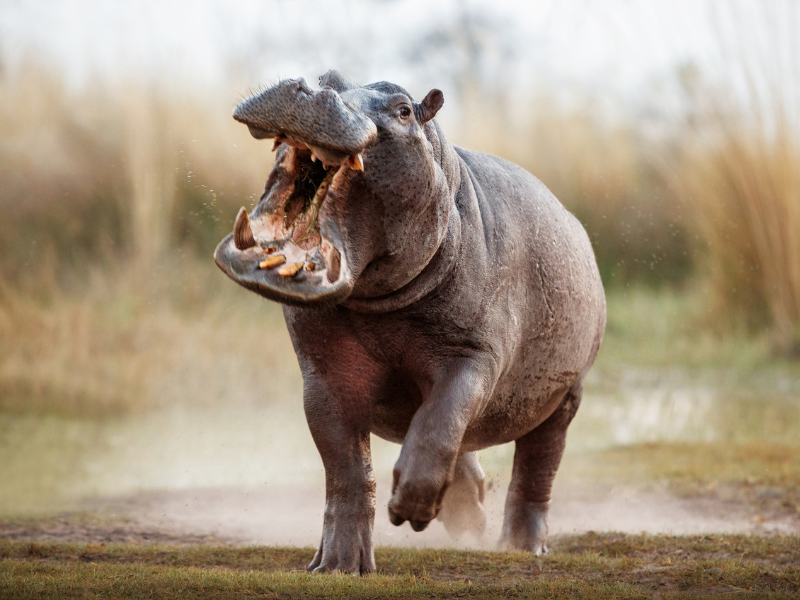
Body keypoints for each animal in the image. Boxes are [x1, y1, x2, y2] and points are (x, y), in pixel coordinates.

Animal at [214, 71, 606, 574]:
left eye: (403, 109)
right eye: (327, 77)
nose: (308, 89)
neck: (379, 304)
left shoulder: (473, 355)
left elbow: (442, 419)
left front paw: (412, 509)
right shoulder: (323, 374)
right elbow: (346, 470)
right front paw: (337, 565)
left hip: (566, 396)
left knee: (537, 468)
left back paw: (521, 545)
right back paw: (469, 514)